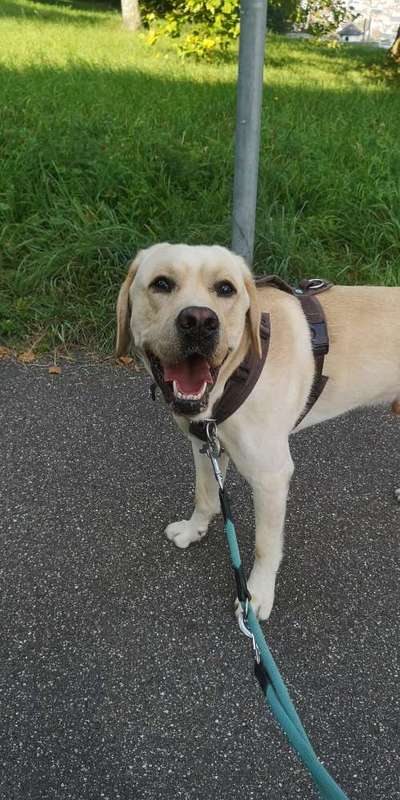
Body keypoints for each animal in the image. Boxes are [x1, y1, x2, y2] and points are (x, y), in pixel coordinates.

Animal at [115, 242, 400, 620]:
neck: (235, 374)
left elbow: (266, 546)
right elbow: (205, 495)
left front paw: (258, 594)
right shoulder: (206, 444)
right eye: (161, 284)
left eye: (225, 288)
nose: (199, 322)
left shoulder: (271, 477)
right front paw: (193, 530)